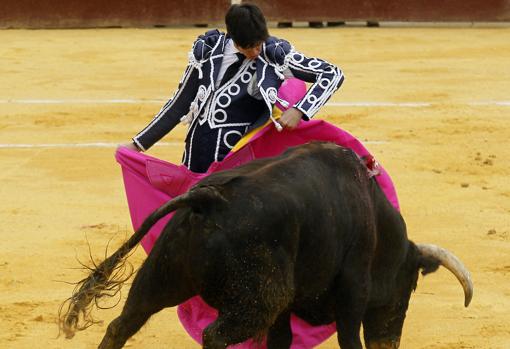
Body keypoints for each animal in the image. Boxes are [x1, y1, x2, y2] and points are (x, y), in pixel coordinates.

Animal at [60, 141, 474, 348]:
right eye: (411, 285)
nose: (388, 343)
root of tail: (207, 199)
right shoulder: (353, 288)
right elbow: (347, 338)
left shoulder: (288, 307)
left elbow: (281, 340)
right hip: (257, 299)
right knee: (214, 336)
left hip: (161, 276)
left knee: (122, 324)